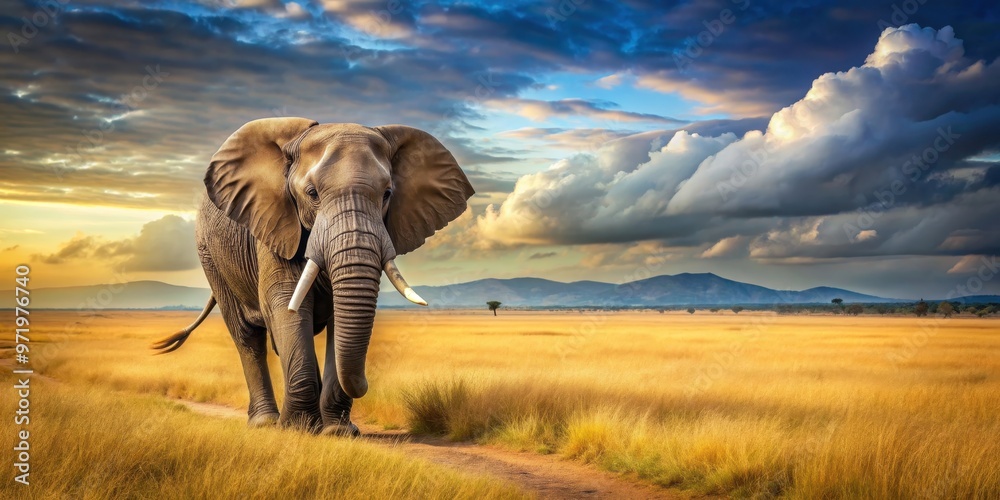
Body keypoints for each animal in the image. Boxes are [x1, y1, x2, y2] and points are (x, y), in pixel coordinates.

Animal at [152, 117, 474, 435]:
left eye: (387, 194)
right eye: (312, 194)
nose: (366, 383)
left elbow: (336, 318)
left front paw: (337, 432)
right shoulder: (275, 224)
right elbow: (285, 306)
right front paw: (298, 429)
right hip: (210, 256)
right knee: (246, 336)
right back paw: (265, 422)